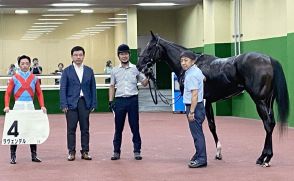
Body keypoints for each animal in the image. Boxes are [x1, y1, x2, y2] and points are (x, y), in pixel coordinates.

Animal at [138, 31, 290, 166]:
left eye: (150, 47)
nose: (140, 65)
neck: (193, 65)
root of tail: (269, 59)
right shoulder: (209, 102)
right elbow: (212, 126)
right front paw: (218, 153)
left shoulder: (201, 102)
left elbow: (203, 126)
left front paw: (207, 154)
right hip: (268, 101)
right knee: (271, 123)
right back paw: (264, 157)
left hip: (260, 100)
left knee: (268, 124)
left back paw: (265, 158)